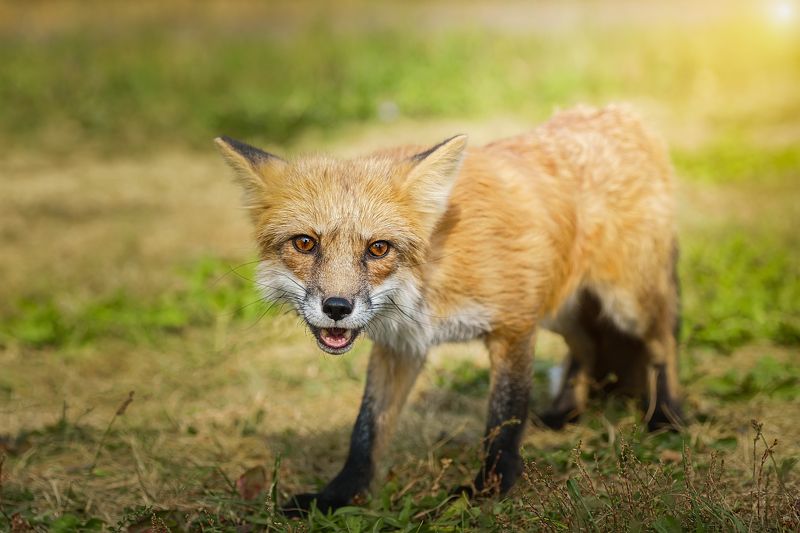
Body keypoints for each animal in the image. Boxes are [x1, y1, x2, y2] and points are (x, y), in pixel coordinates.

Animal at [214, 104, 682, 515]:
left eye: (378, 248)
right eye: (305, 243)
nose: (336, 308)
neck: (429, 275)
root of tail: (620, 112)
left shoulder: (513, 326)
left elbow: (504, 419)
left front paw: (488, 492)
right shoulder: (402, 345)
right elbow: (366, 430)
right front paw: (339, 497)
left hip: (627, 303)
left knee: (663, 343)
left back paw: (667, 415)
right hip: (561, 307)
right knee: (585, 348)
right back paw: (564, 413)